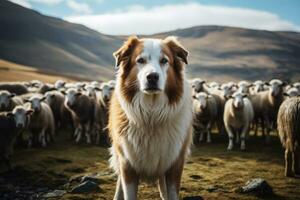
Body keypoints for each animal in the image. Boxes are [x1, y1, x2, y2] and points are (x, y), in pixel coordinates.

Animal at [109, 35, 193, 199]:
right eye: (140, 60)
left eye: (164, 60)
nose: (152, 77)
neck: (151, 115)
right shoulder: (127, 164)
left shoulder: (175, 164)